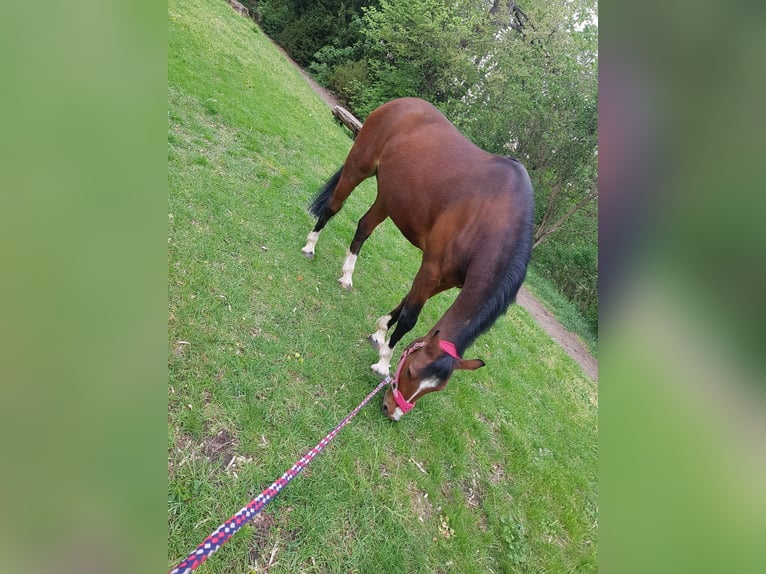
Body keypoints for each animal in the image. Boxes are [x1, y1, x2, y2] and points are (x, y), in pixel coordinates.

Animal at [302, 99, 536, 424]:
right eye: (411, 371)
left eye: (435, 390)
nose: (393, 411)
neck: (489, 220)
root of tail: (400, 104)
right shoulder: (431, 268)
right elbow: (410, 317)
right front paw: (384, 362)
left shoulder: (445, 279)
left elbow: (405, 304)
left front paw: (380, 332)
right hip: (358, 167)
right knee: (332, 208)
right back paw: (310, 246)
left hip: (390, 196)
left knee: (363, 228)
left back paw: (347, 275)